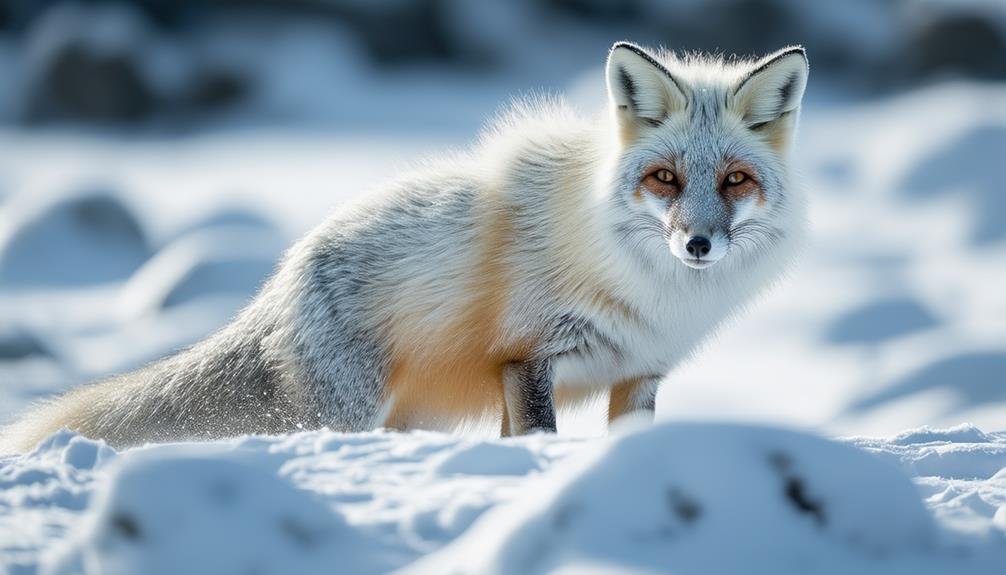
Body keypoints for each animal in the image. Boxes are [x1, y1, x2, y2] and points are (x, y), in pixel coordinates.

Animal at [0, 42, 808, 452]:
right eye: (664, 178)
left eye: (735, 180)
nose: (697, 244)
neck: (651, 290)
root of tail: (283, 274)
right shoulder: (527, 357)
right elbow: (534, 440)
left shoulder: (637, 374)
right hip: (347, 412)